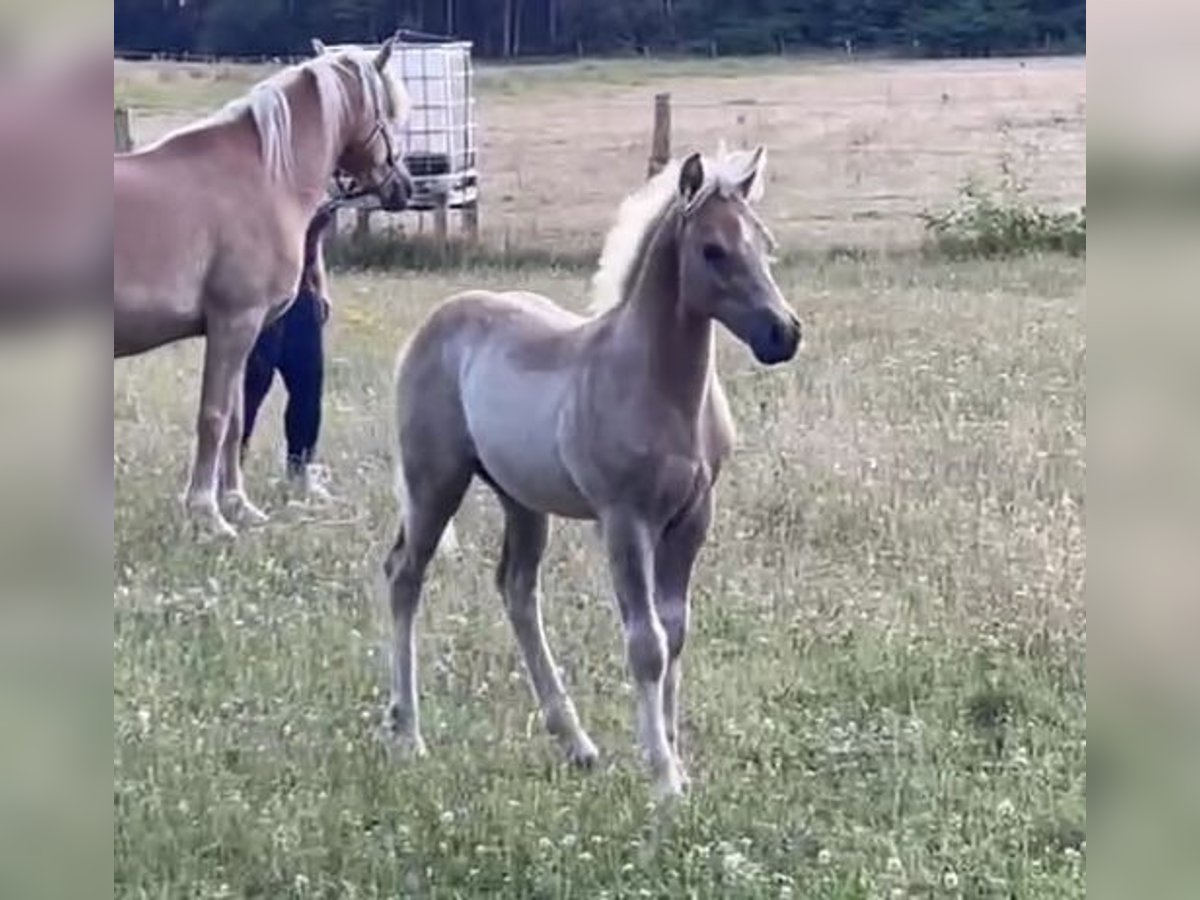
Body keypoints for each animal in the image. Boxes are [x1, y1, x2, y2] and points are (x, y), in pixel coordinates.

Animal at [113, 37, 412, 535]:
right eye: (388, 112)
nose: (402, 187)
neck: (264, 176)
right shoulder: (235, 323)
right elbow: (214, 417)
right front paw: (208, 514)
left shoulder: (248, 332)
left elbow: (236, 418)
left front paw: (238, 505)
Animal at [379, 144, 801, 801]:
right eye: (713, 250)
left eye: (764, 241)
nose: (784, 334)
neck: (660, 388)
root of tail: (435, 322)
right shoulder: (625, 521)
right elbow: (647, 643)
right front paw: (664, 778)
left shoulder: (692, 519)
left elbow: (676, 631)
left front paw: (676, 757)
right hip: (434, 483)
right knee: (405, 576)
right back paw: (408, 734)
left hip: (522, 500)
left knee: (517, 589)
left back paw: (575, 743)